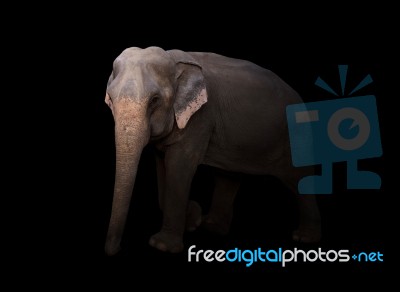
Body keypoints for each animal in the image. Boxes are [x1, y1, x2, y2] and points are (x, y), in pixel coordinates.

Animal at [104, 45, 322, 256]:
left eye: (154, 100)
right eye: (111, 100)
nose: (116, 250)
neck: (173, 60)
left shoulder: (201, 118)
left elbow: (178, 166)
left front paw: (163, 245)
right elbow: (163, 165)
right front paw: (193, 219)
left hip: (296, 135)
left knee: (298, 178)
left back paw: (304, 238)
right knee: (228, 176)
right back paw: (212, 227)